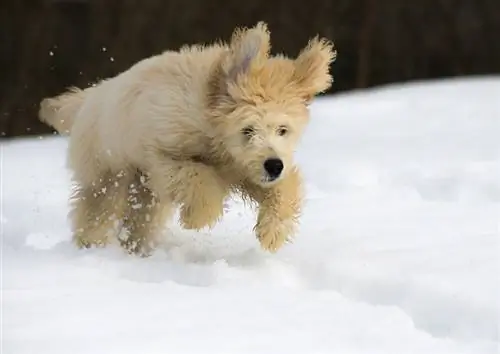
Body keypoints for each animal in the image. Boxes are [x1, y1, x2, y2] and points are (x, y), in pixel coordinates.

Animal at [39, 21, 336, 254]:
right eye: (247, 129)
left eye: (283, 130)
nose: (274, 166)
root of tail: (87, 99)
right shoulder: (162, 154)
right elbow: (198, 176)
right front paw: (198, 218)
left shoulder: (247, 168)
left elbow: (286, 187)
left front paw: (272, 233)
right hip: (107, 173)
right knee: (97, 211)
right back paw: (92, 247)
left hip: (142, 193)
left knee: (139, 220)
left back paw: (135, 250)